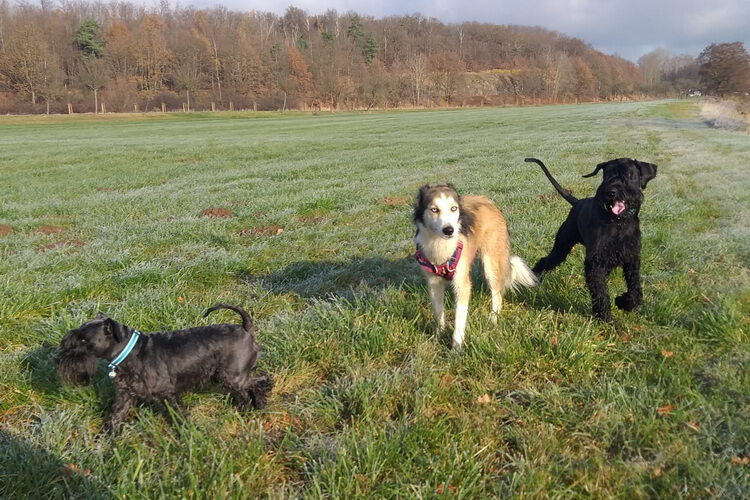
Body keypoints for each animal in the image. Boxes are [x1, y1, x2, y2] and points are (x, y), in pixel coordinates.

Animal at [57, 304, 273, 432]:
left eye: (83, 340)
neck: (130, 351)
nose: (59, 357)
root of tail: (245, 328)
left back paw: (251, 407)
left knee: (258, 382)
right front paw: (108, 437)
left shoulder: (168, 394)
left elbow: (179, 414)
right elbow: (116, 415)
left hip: (231, 376)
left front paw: (188, 434)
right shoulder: (125, 395)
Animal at [413, 184, 537, 349]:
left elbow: (459, 317)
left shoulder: (462, 283)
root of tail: (488, 201)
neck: (440, 245)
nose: (449, 230)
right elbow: (438, 313)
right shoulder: (434, 284)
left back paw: (493, 320)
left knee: (497, 294)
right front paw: (439, 335)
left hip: (491, 263)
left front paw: (456, 347)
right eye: (434, 209)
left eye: (453, 208)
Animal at [525, 157, 657, 322]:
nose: (610, 192)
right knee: (545, 261)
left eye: (628, 174)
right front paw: (604, 318)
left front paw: (623, 302)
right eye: (607, 174)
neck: (618, 223)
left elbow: (635, 289)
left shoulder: (631, 259)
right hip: (561, 247)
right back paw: (533, 278)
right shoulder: (595, 262)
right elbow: (600, 291)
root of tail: (577, 202)